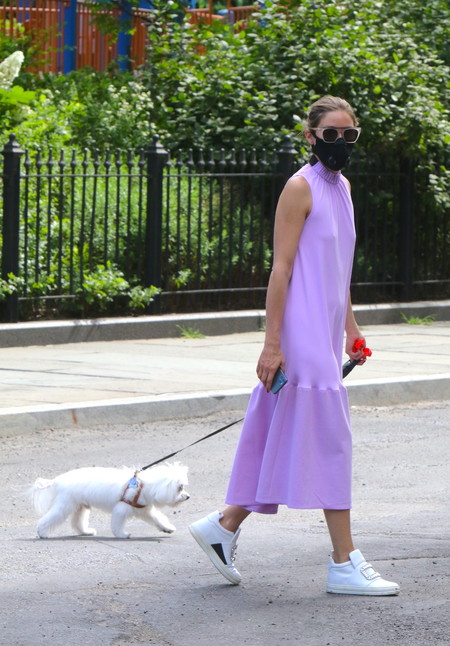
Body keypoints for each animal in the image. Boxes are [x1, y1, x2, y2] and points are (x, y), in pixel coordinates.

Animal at [29, 466, 188, 540]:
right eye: (180, 487)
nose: (188, 496)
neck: (142, 485)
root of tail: (57, 480)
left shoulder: (144, 511)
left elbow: (158, 519)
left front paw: (167, 528)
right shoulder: (121, 510)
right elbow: (117, 525)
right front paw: (122, 535)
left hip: (80, 507)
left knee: (77, 523)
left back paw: (85, 532)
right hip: (64, 506)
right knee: (48, 519)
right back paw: (42, 532)